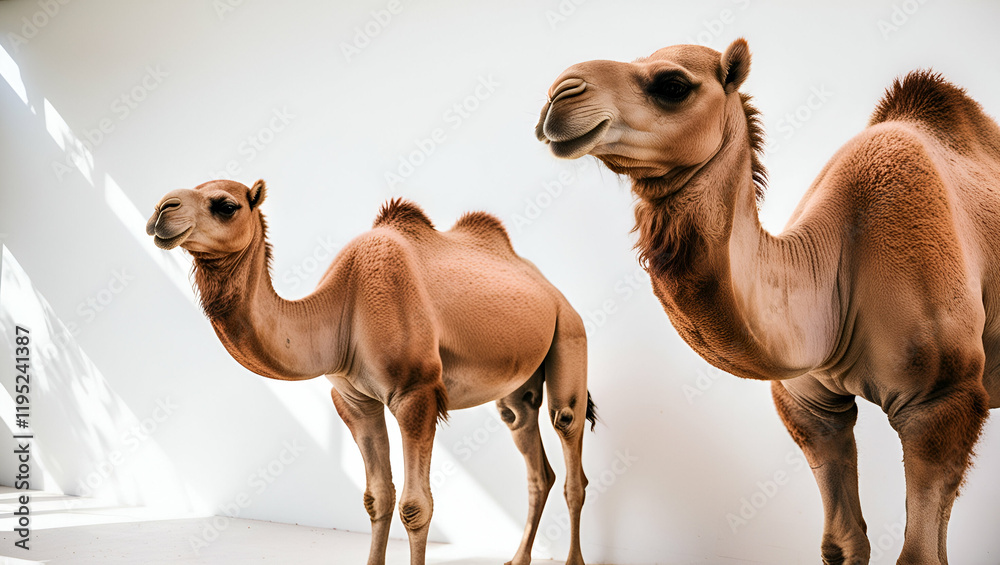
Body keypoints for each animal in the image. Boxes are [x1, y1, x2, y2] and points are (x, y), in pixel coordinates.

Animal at [145, 179, 596, 565]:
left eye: (226, 205)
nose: (160, 210)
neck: (343, 307)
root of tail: (550, 288)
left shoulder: (417, 393)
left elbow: (416, 505)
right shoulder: (354, 400)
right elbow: (377, 497)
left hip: (570, 333)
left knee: (570, 446)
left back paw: (574, 559)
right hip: (518, 386)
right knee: (534, 461)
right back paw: (517, 558)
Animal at [536, 38, 999, 564]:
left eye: (673, 85)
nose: (558, 95)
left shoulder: (942, 399)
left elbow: (921, 554)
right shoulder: (810, 407)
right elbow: (842, 543)